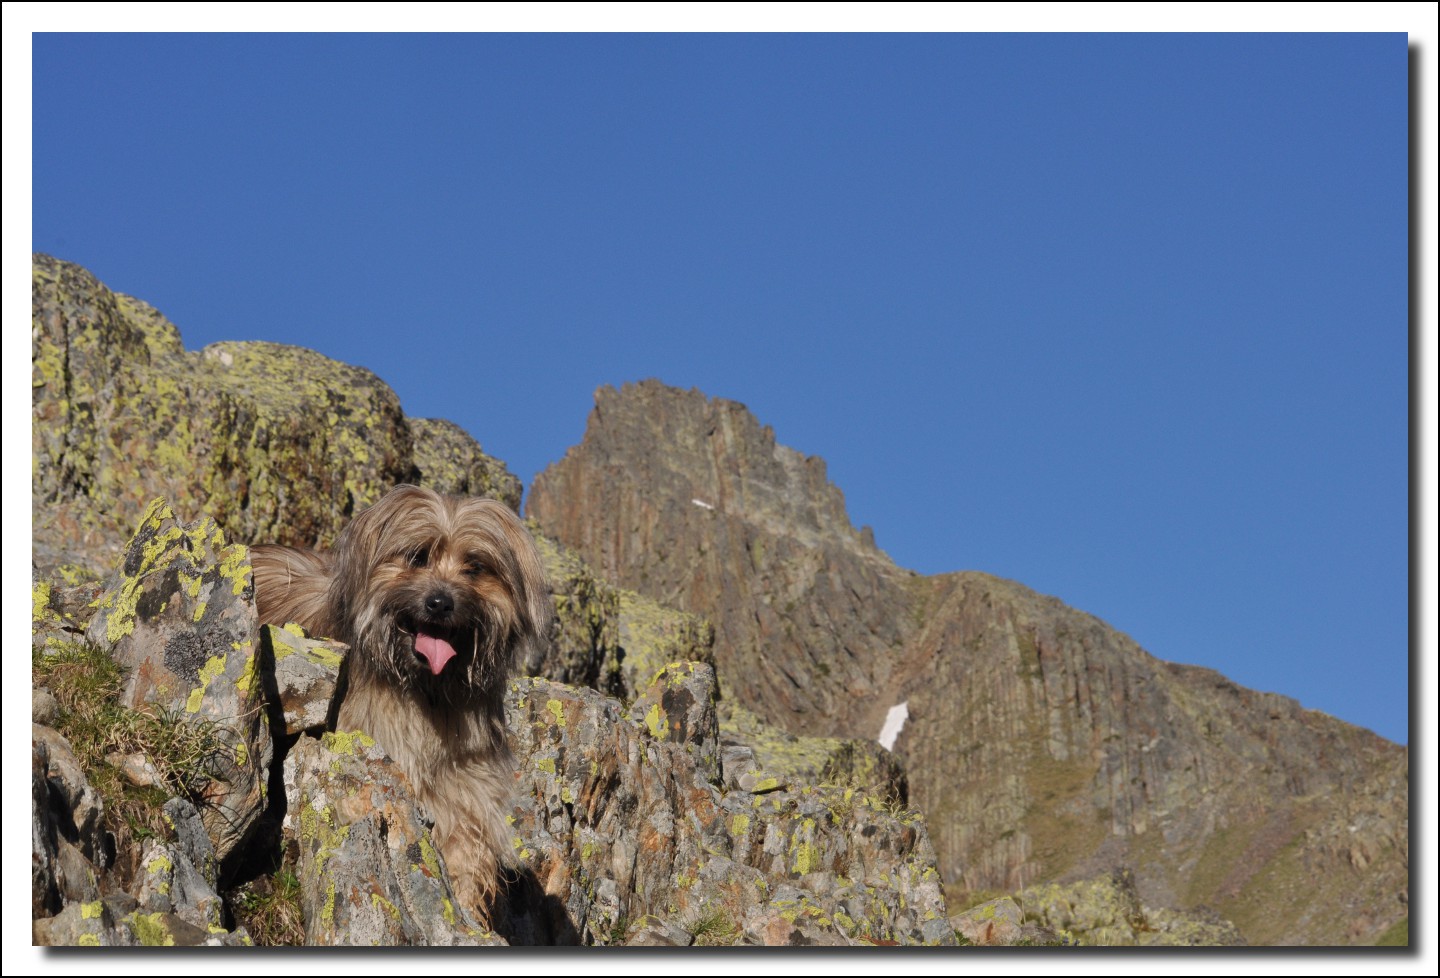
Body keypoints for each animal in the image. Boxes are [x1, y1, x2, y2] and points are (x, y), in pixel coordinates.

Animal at [253, 486, 550, 927]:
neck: (427, 690)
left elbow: (465, 848)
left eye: (475, 567)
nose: (440, 603)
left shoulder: (463, 784)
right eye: (417, 556)